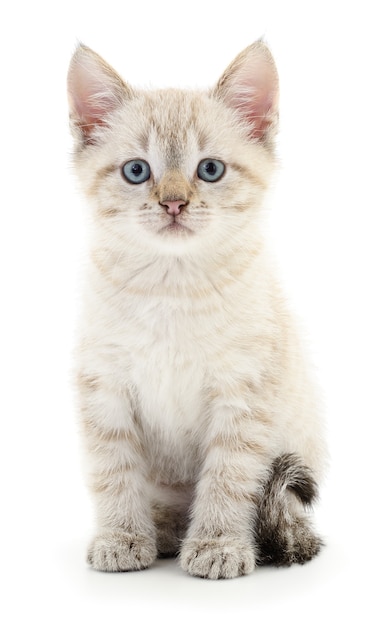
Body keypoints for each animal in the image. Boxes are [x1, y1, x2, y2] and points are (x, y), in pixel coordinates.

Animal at [68, 41, 328, 576]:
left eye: (210, 169)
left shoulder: (244, 392)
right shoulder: (104, 387)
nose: (173, 204)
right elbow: (114, 471)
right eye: (136, 170)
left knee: (282, 508)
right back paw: (163, 531)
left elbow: (228, 479)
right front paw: (122, 537)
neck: (173, 288)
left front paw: (218, 545)